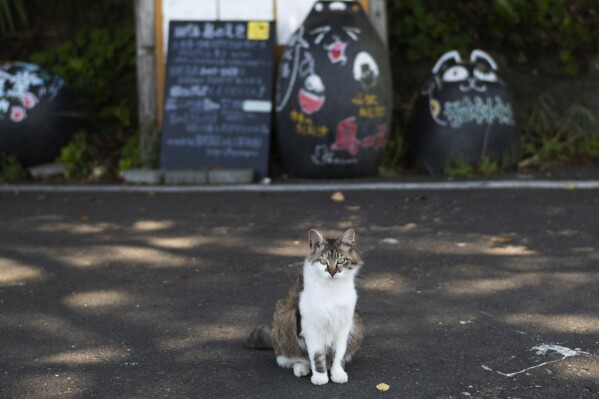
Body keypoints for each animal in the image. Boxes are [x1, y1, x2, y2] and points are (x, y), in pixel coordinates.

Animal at [245, 230, 366, 386]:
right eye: (323, 261)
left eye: (341, 261)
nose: (332, 273)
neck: (331, 290)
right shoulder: (311, 329)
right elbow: (317, 356)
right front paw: (320, 377)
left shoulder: (343, 328)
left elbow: (338, 355)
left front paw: (338, 373)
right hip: (284, 321)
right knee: (293, 359)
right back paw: (301, 368)